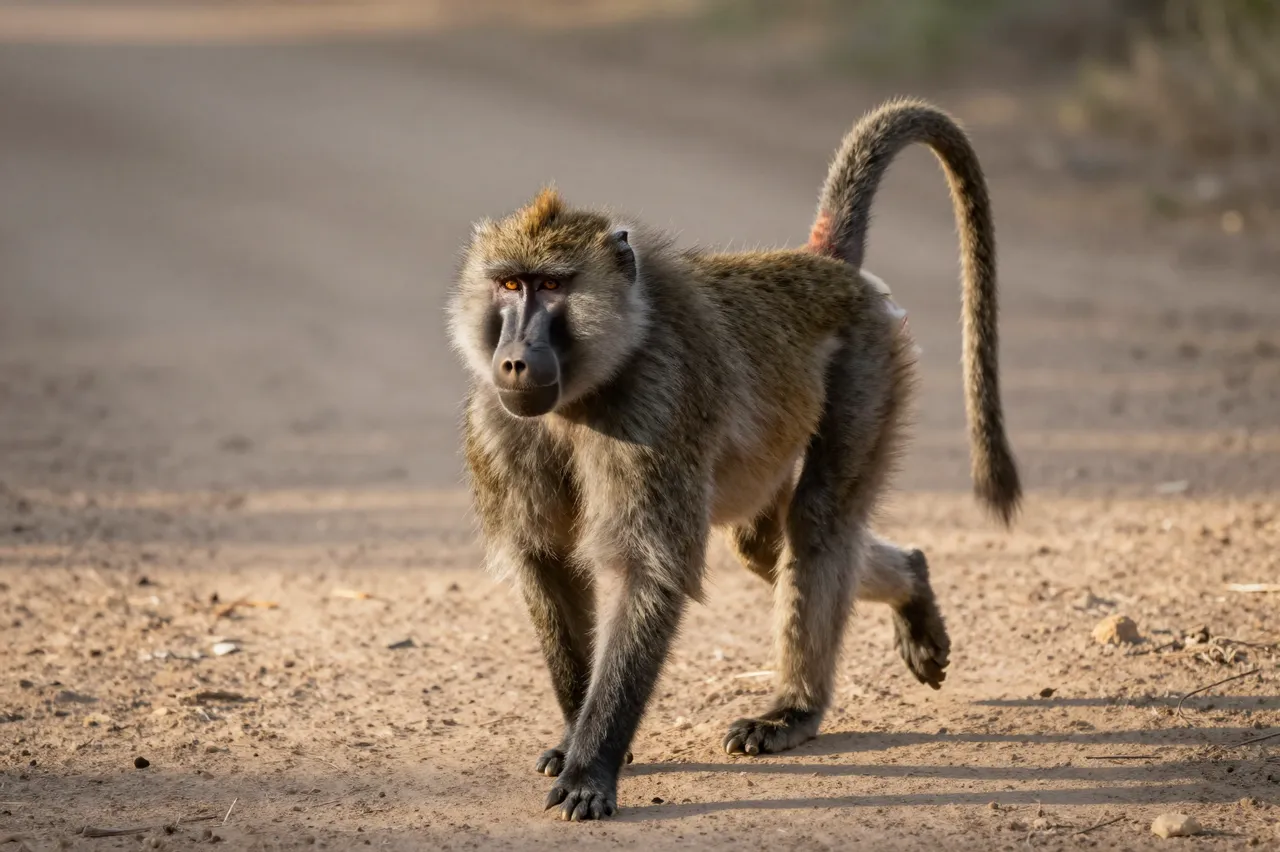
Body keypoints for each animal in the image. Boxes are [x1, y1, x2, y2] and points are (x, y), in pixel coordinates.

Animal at [446, 97, 1020, 822]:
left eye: (551, 286)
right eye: (509, 284)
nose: (515, 360)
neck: (586, 390)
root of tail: (823, 266)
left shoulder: (656, 411)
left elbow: (648, 572)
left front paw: (590, 768)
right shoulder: (499, 424)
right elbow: (546, 563)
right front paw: (576, 739)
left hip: (871, 364)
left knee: (819, 522)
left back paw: (794, 712)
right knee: (767, 543)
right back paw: (914, 587)